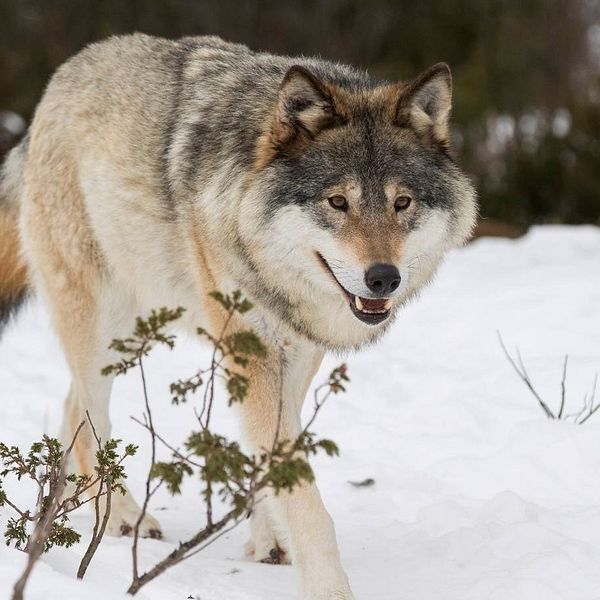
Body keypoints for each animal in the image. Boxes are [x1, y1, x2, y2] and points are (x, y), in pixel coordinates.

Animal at [1, 35, 478, 596]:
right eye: (337, 201)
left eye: (402, 202)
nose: (384, 278)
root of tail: (59, 81)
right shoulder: (253, 351)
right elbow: (304, 497)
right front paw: (329, 587)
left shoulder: (295, 353)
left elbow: (270, 460)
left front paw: (268, 539)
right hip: (104, 327)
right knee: (88, 412)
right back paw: (117, 517)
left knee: (71, 406)